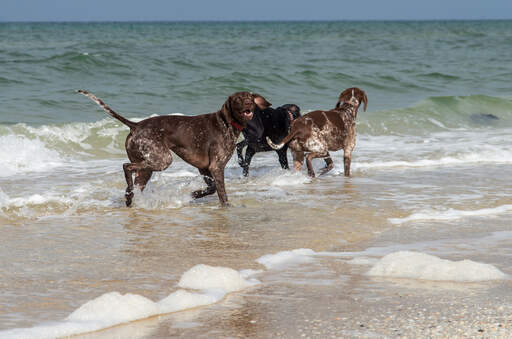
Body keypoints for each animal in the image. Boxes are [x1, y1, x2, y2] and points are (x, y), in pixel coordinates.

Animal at [78, 91, 270, 207]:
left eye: (250, 97)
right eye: (238, 99)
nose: (249, 103)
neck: (227, 123)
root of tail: (136, 125)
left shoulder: (204, 168)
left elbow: (212, 188)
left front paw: (194, 194)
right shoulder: (216, 166)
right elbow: (221, 193)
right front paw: (226, 206)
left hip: (147, 168)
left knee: (134, 181)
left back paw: (130, 197)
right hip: (162, 160)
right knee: (126, 166)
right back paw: (129, 191)